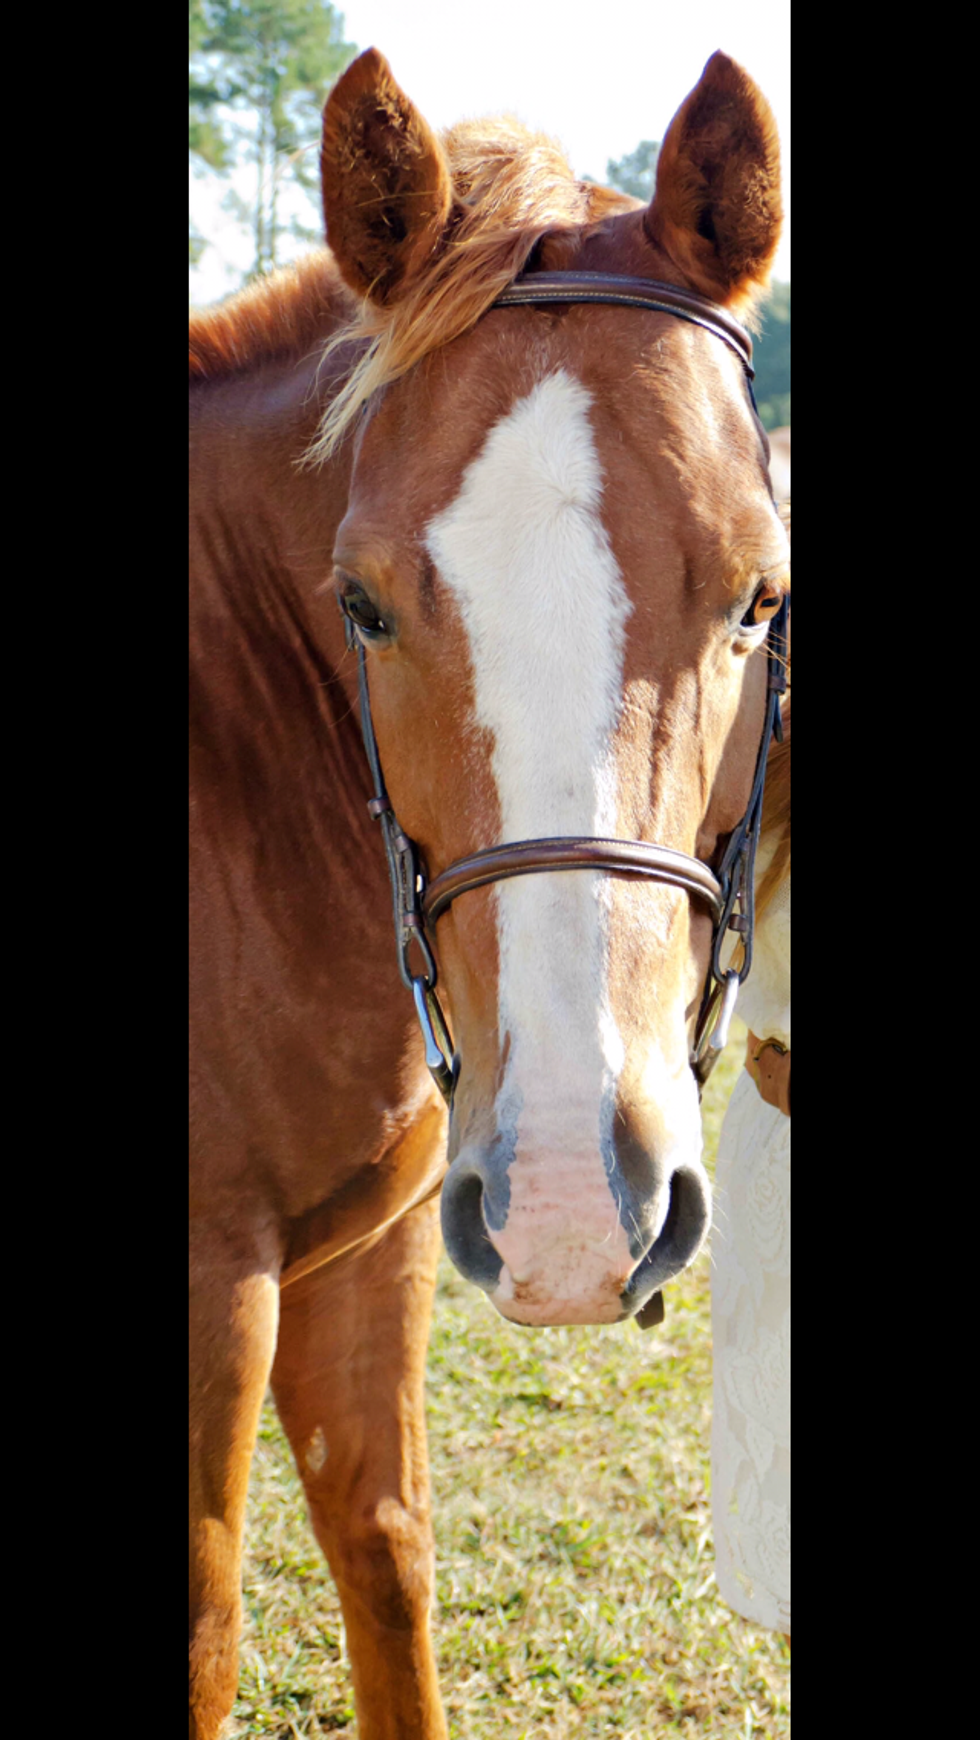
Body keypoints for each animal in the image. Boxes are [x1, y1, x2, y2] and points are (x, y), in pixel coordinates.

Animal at [189, 46, 788, 1740]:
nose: (580, 1212)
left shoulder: (362, 1256)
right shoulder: (209, 1293)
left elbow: (385, 1554)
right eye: (362, 602)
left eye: (759, 595)